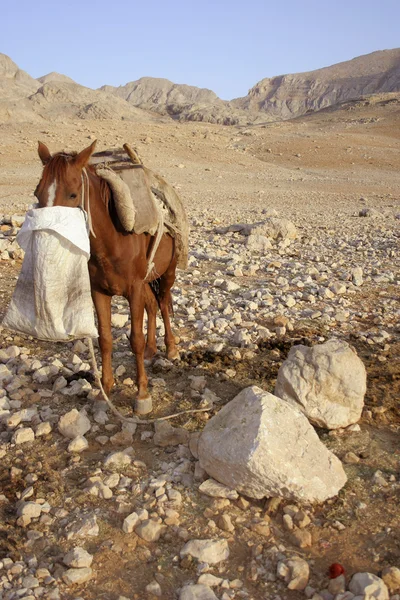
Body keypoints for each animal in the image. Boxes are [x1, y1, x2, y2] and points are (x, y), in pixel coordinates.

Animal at [34, 140, 178, 412]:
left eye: (72, 194)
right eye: (38, 193)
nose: (46, 237)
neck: (113, 241)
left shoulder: (133, 289)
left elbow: (135, 339)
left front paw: (142, 393)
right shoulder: (99, 292)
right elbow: (105, 339)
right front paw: (106, 390)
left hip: (168, 273)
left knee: (163, 304)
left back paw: (171, 348)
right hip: (147, 280)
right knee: (152, 305)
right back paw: (152, 349)